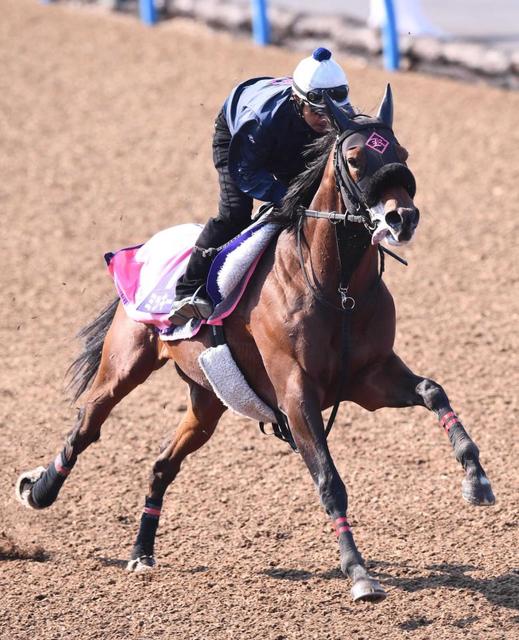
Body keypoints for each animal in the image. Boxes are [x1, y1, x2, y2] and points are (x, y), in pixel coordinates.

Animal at [16, 86, 495, 603]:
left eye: (402, 155)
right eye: (354, 159)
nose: (401, 218)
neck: (337, 288)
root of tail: (140, 249)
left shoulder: (370, 378)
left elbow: (433, 390)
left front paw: (477, 479)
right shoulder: (296, 394)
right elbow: (329, 481)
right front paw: (358, 572)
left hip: (207, 401)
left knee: (162, 465)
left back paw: (142, 552)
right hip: (125, 364)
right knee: (88, 423)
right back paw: (39, 490)